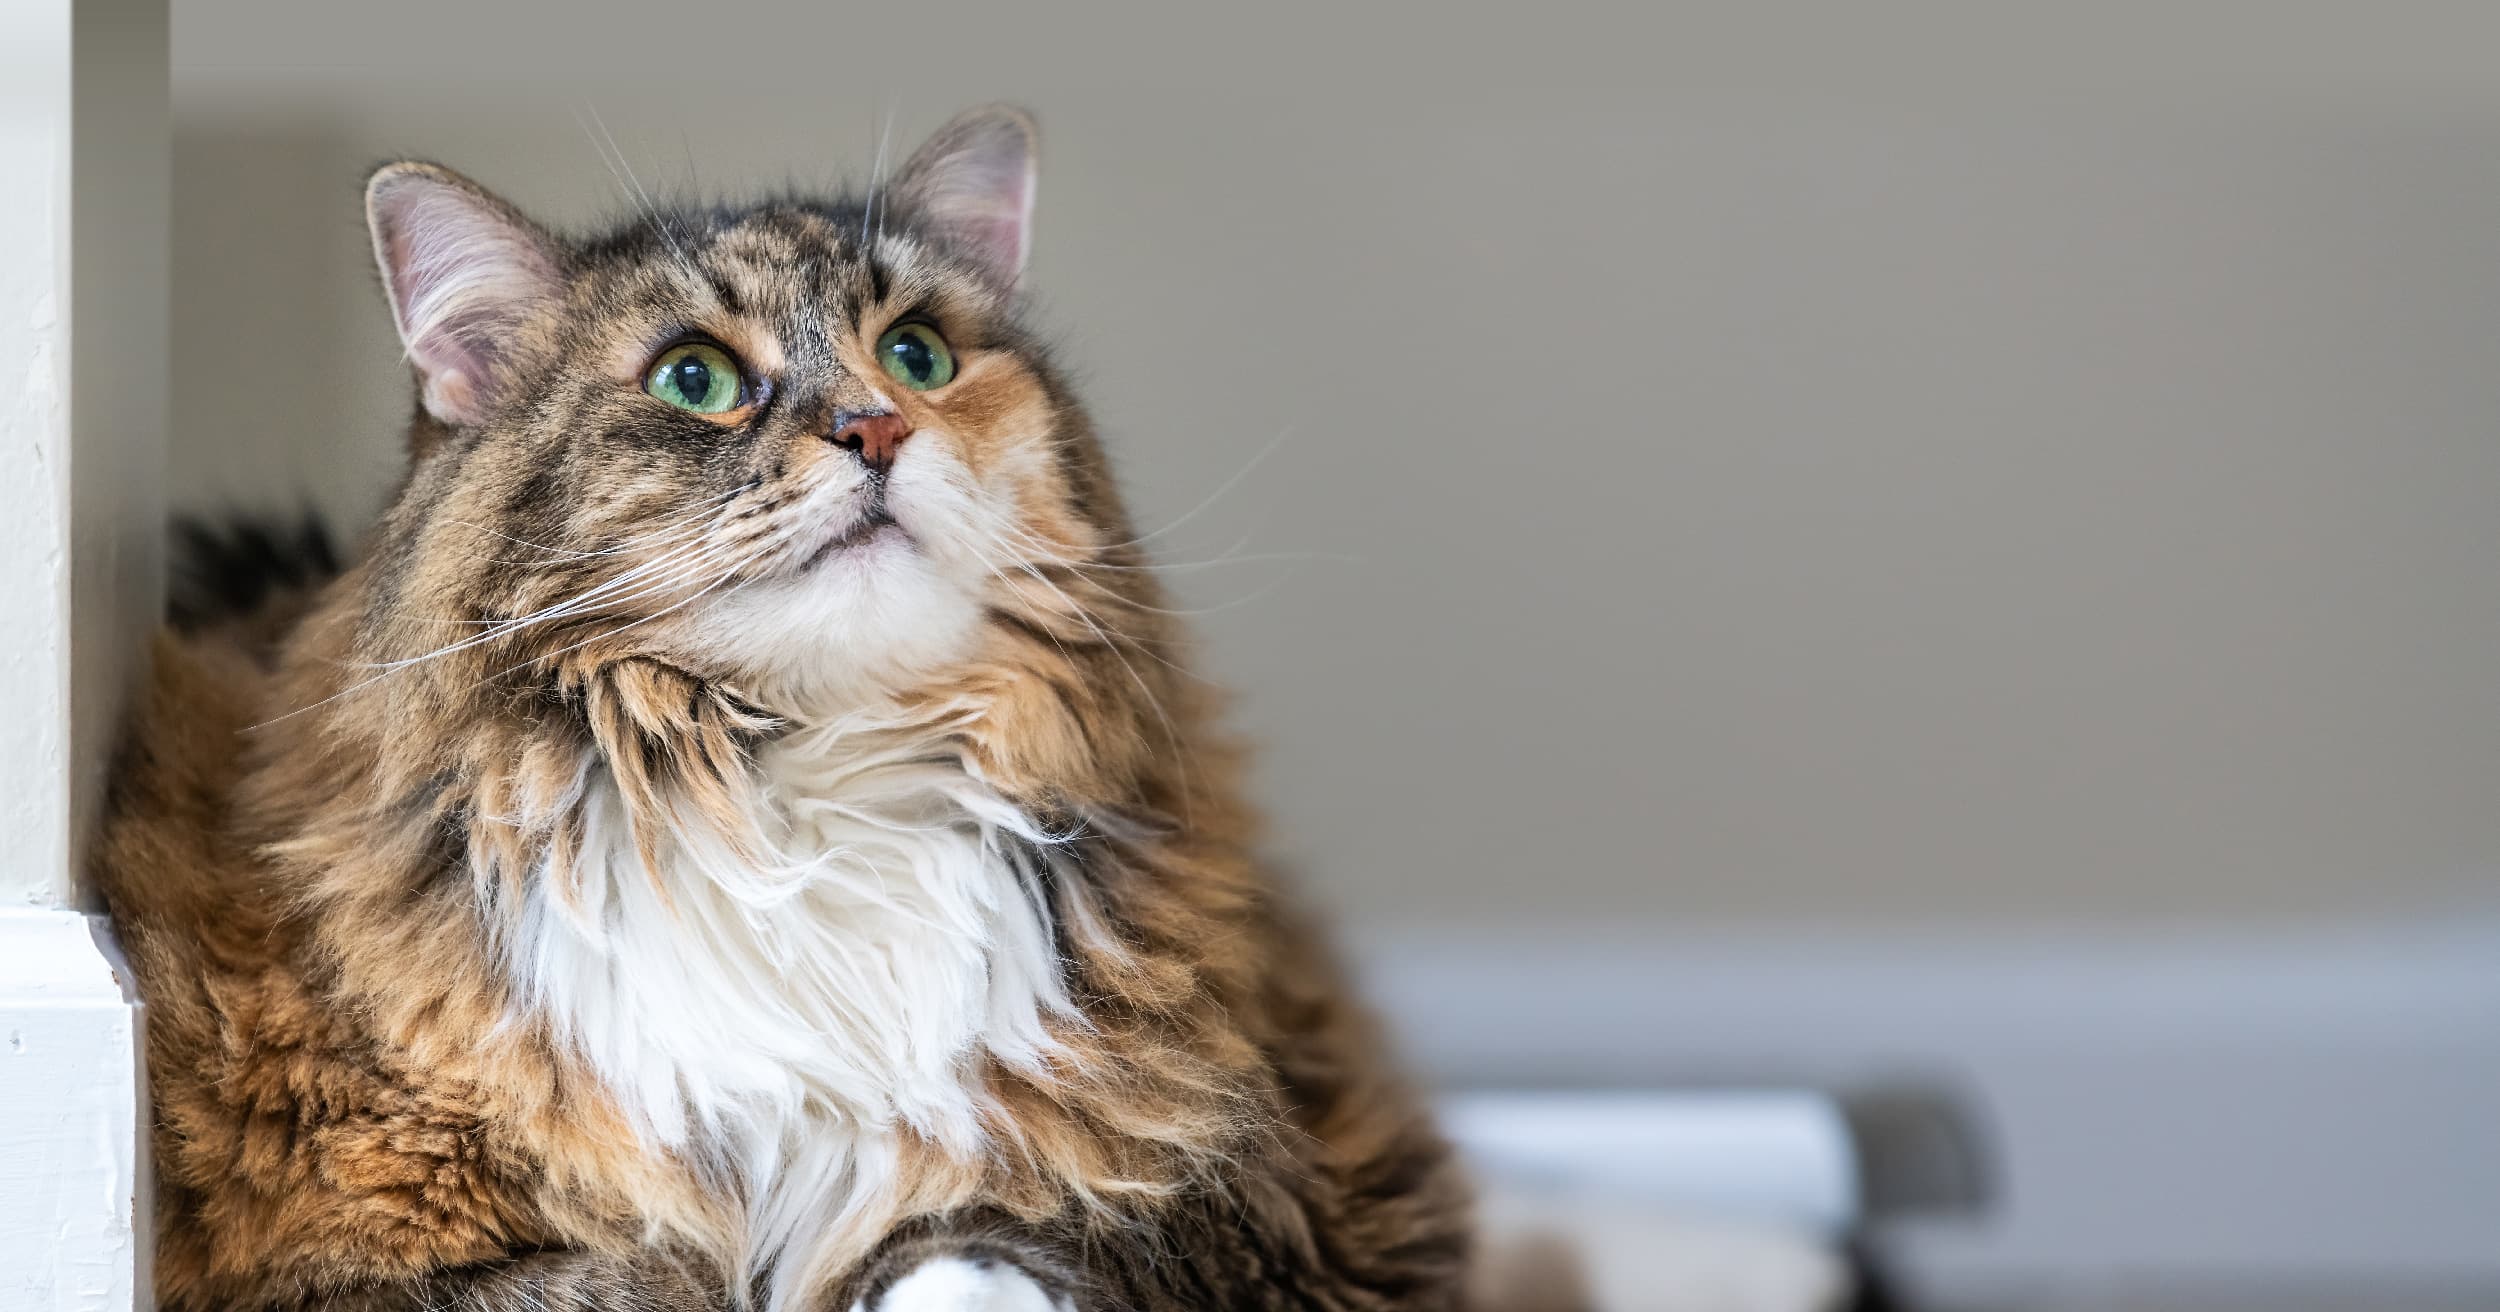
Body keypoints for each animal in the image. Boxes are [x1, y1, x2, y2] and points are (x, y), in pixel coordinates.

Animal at [102, 104, 1500, 1309]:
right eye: (695, 379)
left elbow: (983, 1247)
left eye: (918, 355)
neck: (804, 798)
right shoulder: (344, 1258)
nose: (878, 428)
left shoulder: (1271, 1203)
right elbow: (649, 1278)